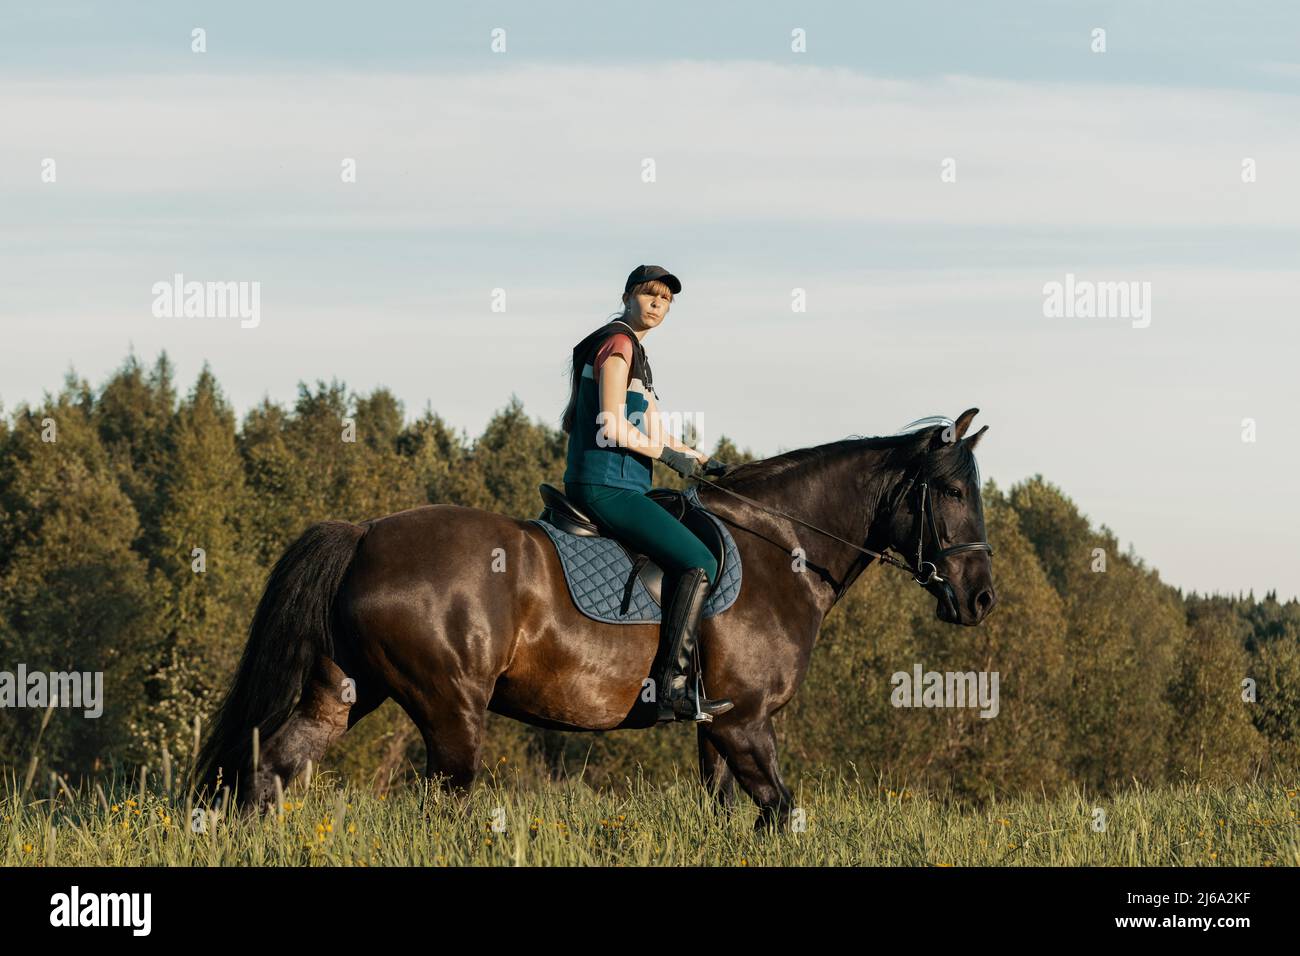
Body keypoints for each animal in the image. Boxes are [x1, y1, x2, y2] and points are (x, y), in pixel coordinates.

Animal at [195, 405, 993, 832]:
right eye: (954, 492)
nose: (980, 598)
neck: (781, 547)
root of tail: (363, 534)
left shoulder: (719, 726)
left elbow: (732, 815)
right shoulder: (746, 723)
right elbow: (781, 812)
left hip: (345, 690)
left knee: (270, 769)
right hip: (450, 706)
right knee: (441, 800)